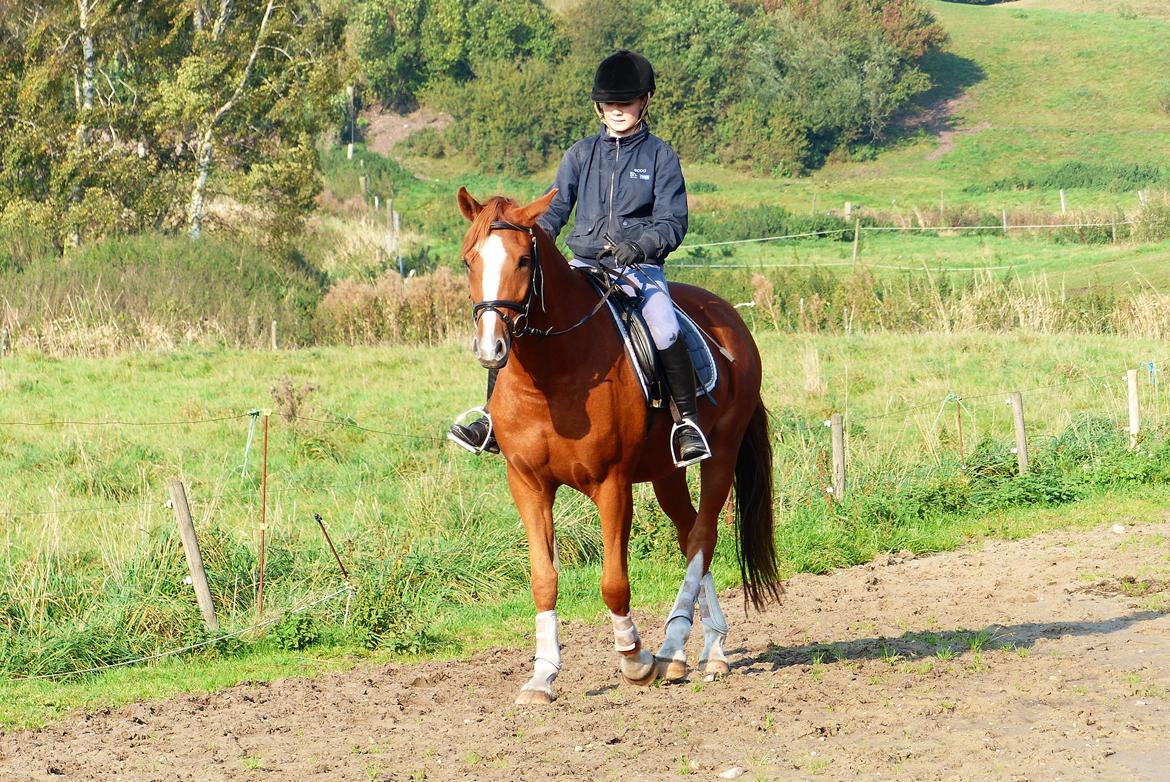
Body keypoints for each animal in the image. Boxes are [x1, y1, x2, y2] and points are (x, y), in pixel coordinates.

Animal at [453, 186, 776, 707]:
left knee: (703, 537)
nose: (490, 348)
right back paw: (703, 651)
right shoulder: (527, 485)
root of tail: (730, 317)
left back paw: (673, 646)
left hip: (720, 457)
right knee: (690, 535)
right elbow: (543, 580)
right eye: (469, 260)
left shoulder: (612, 485)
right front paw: (542, 677)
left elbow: (613, 583)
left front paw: (635, 660)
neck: (552, 376)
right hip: (667, 474)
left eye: (523, 260)